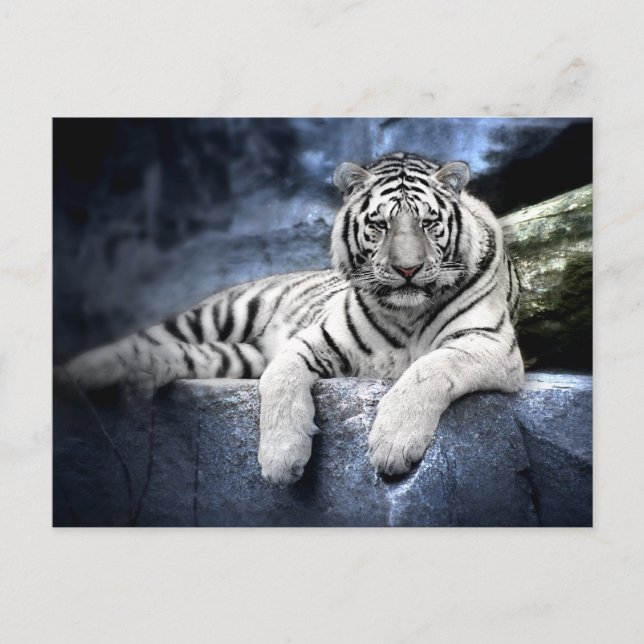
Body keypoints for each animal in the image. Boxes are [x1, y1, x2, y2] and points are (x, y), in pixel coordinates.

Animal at [58, 152, 524, 486]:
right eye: (379, 225)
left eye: (428, 224)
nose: (408, 269)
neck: (406, 311)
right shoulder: (313, 339)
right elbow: (280, 382)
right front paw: (282, 460)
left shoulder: (488, 341)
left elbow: (428, 369)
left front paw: (392, 445)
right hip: (223, 312)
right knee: (152, 334)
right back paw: (79, 371)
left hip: (233, 355)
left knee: (182, 354)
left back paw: (139, 375)